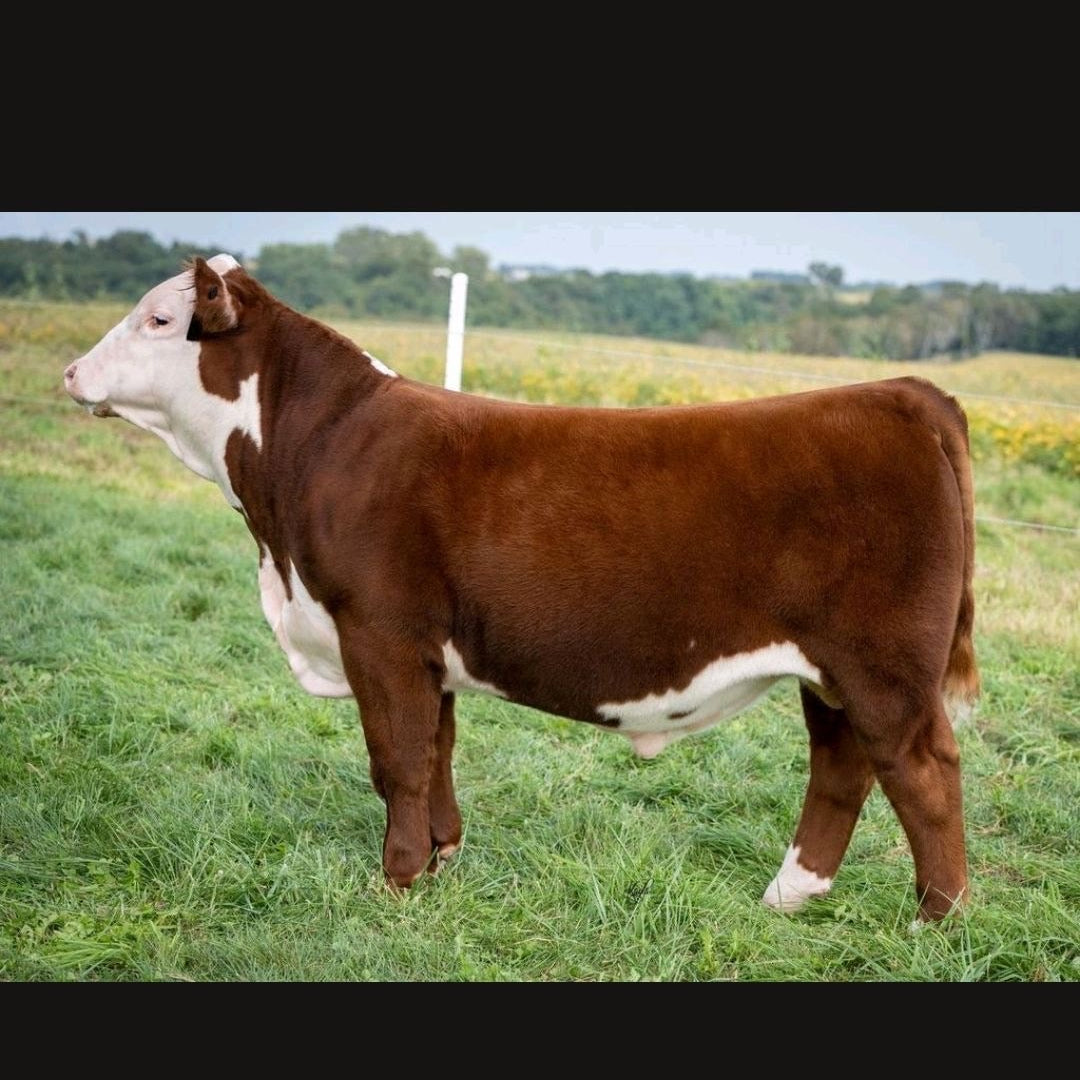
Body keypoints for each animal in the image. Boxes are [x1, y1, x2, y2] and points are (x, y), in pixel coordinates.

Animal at [63, 253, 980, 923]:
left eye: (158, 319)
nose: (70, 371)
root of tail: (904, 393)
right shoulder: (425, 650)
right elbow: (435, 752)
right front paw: (442, 858)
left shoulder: (377, 632)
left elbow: (395, 760)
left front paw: (394, 883)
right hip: (833, 672)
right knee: (842, 766)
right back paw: (789, 896)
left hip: (884, 664)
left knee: (922, 771)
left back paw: (936, 919)